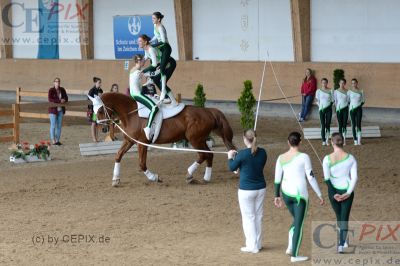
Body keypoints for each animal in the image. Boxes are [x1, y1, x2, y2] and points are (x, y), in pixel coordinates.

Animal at [94, 92, 234, 186]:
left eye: (100, 110)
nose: (104, 129)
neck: (132, 114)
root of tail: (208, 111)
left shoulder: (142, 143)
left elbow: (142, 164)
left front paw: (155, 178)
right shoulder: (130, 141)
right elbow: (118, 156)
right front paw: (115, 180)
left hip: (195, 139)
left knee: (203, 155)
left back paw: (189, 175)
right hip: (201, 139)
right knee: (209, 155)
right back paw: (206, 178)